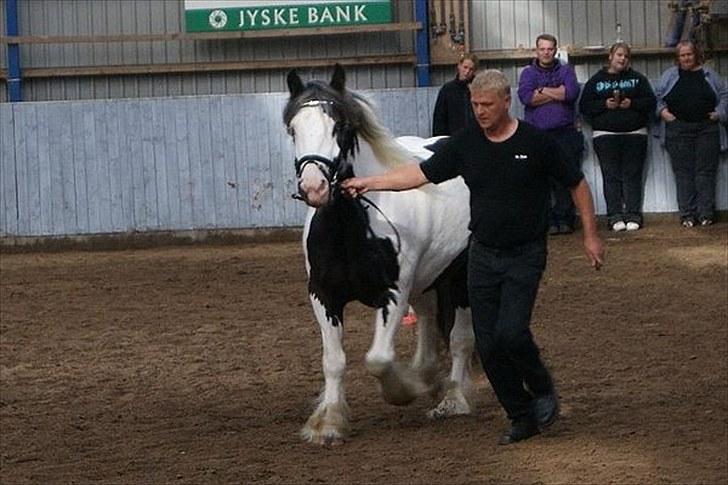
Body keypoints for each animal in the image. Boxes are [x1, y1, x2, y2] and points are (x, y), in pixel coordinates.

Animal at [284, 65, 478, 446]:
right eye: (293, 128)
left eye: (340, 126)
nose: (314, 187)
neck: (352, 225)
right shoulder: (323, 296)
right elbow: (333, 361)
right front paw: (328, 423)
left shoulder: (392, 294)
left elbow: (378, 359)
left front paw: (404, 390)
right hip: (425, 280)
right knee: (428, 320)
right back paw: (429, 377)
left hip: (458, 277)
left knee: (461, 340)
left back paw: (451, 399)